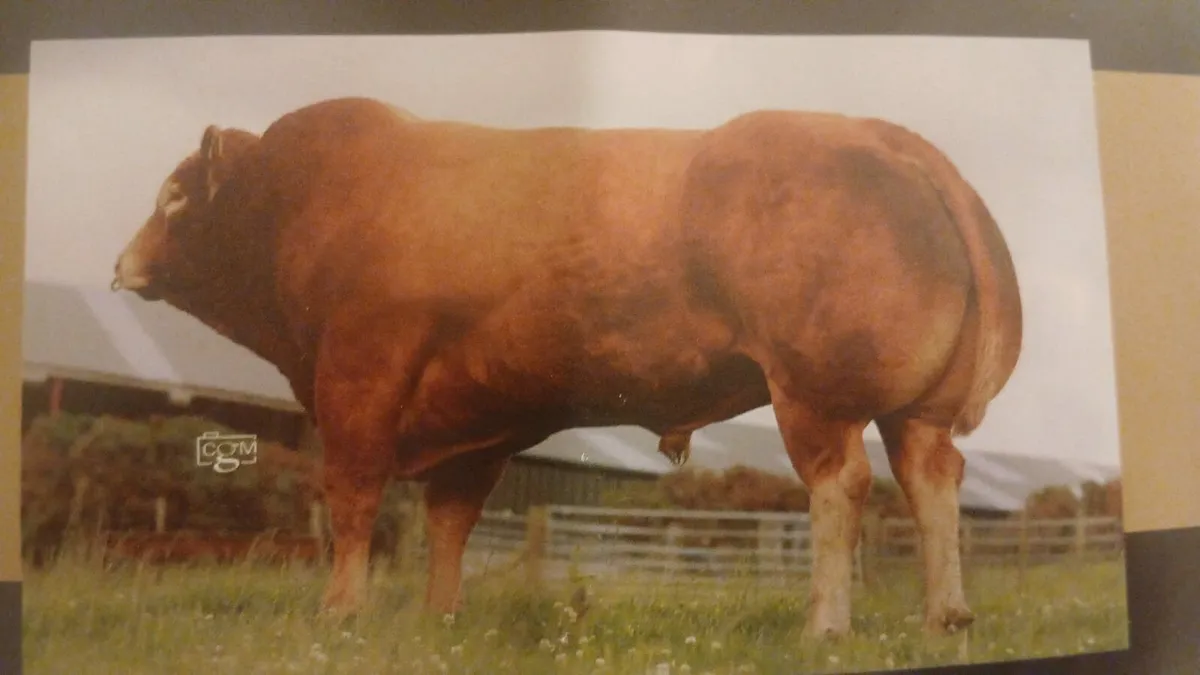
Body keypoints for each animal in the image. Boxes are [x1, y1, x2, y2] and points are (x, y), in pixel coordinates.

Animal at [111, 97, 1022, 638]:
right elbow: (451, 518)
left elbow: (355, 497)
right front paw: (439, 616)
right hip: (916, 411)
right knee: (932, 481)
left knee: (842, 486)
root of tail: (876, 132)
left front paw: (341, 611)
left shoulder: (358, 380)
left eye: (175, 197)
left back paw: (825, 624)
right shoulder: (474, 421)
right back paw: (947, 615)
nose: (121, 263)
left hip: (814, 392)